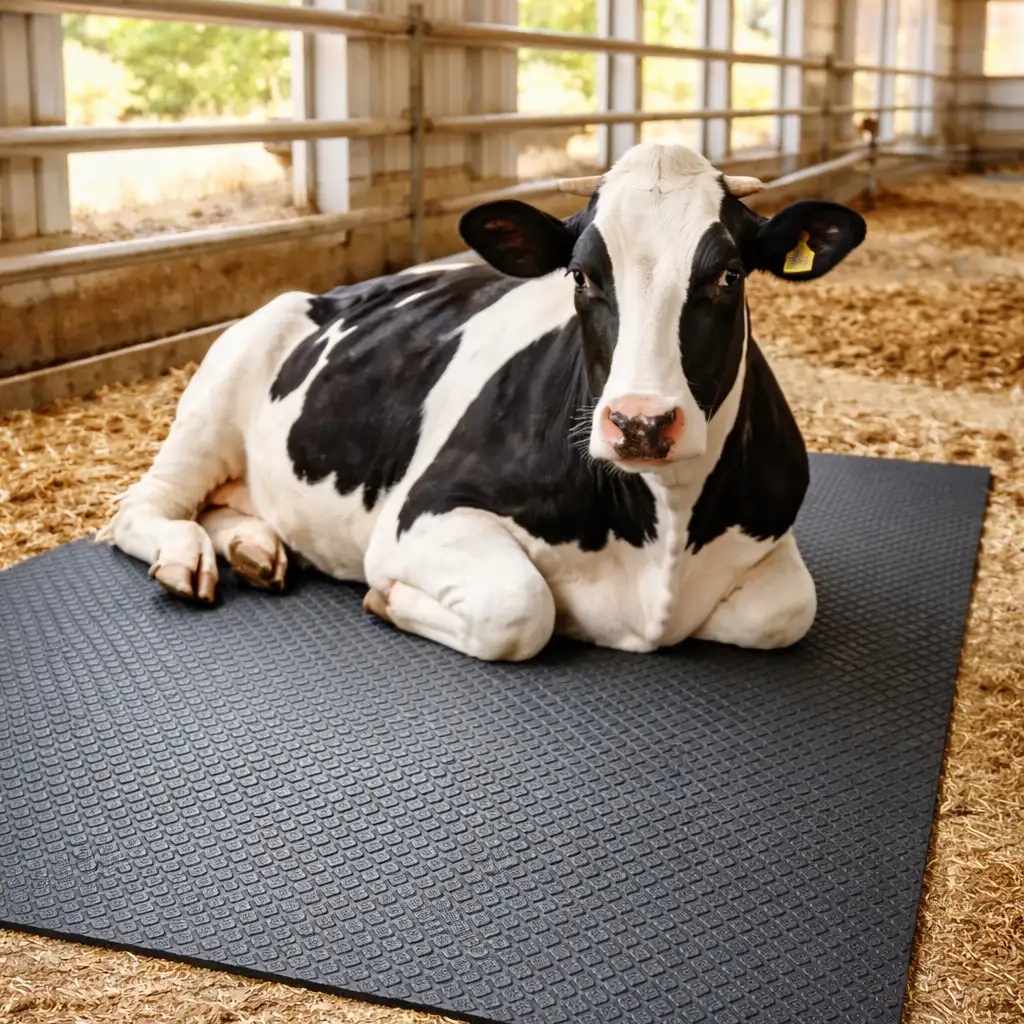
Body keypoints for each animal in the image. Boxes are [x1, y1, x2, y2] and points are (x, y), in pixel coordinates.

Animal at [97, 143, 866, 662]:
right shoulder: (423, 517)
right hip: (215, 392)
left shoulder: (769, 531)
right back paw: (186, 555)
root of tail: (328, 292)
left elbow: (785, 609)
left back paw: (255, 546)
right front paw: (387, 599)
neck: (664, 531)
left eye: (729, 274)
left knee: (226, 505)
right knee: (144, 505)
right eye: (581, 275)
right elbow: (519, 608)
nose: (641, 423)